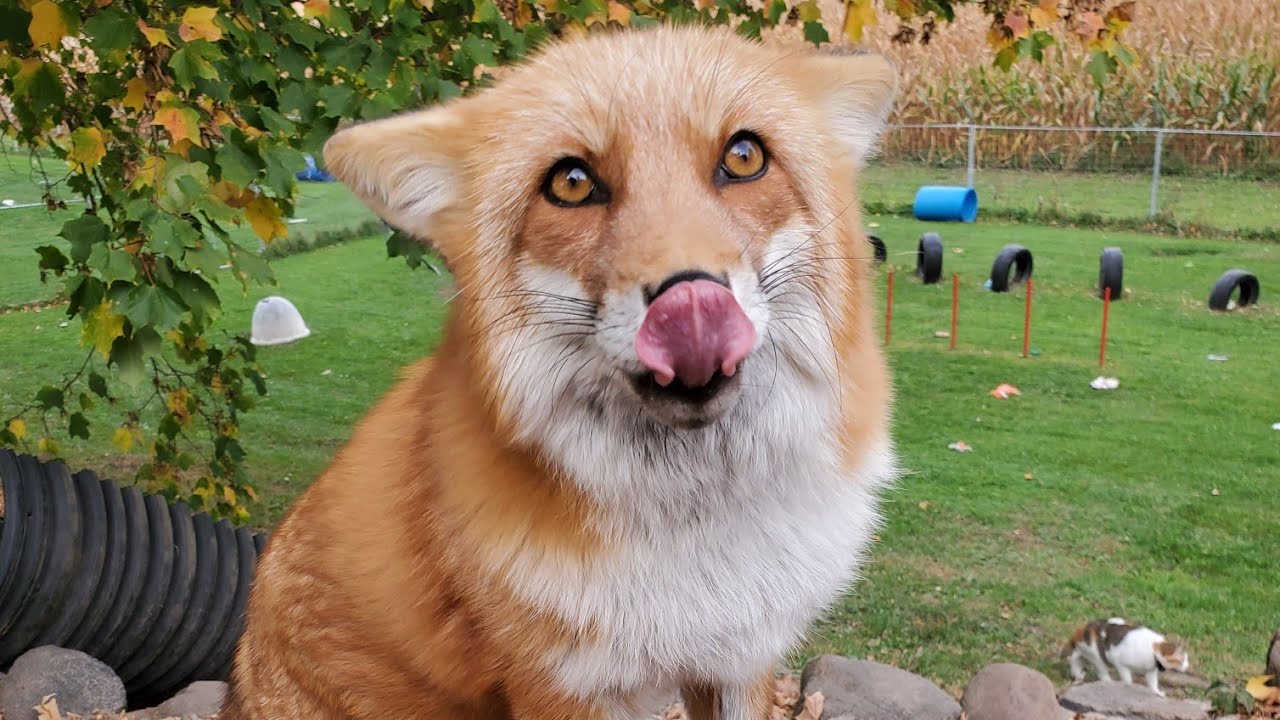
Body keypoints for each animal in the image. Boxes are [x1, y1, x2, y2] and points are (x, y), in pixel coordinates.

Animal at [221, 24, 899, 720]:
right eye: (571, 183)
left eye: (743, 157)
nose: (691, 300)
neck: (699, 543)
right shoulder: (561, 684)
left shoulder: (741, 654)